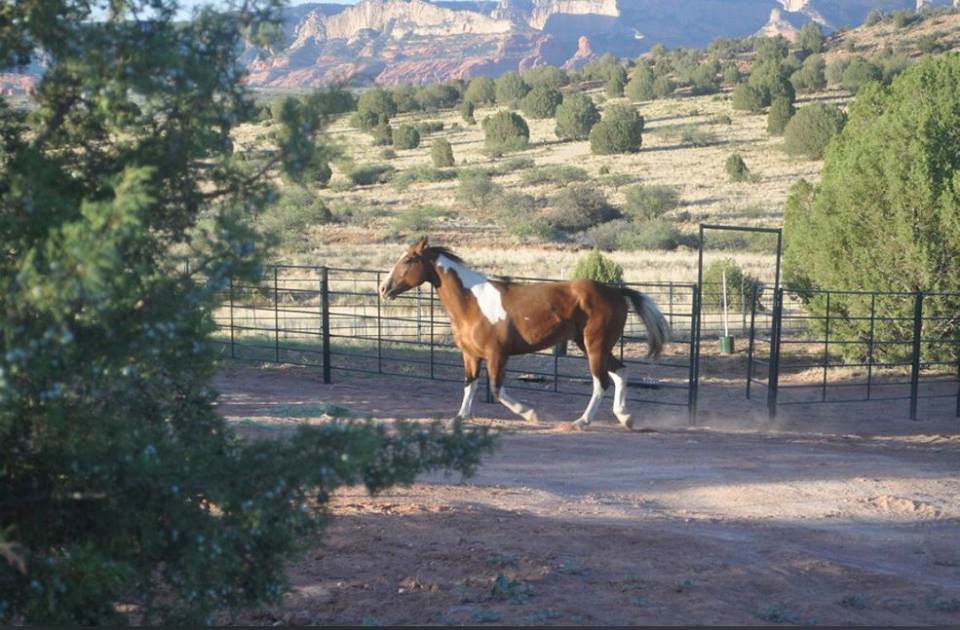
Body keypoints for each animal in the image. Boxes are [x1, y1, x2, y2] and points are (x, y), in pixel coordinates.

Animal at [378, 237, 671, 430]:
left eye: (408, 259)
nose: (383, 288)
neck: (471, 302)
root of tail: (616, 292)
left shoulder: (497, 354)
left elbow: (497, 390)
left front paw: (531, 414)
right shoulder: (470, 355)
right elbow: (469, 385)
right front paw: (459, 418)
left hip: (595, 345)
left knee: (602, 382)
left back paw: (582, 421)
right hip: (591, 345)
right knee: (621, 372)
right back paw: (625, 418)